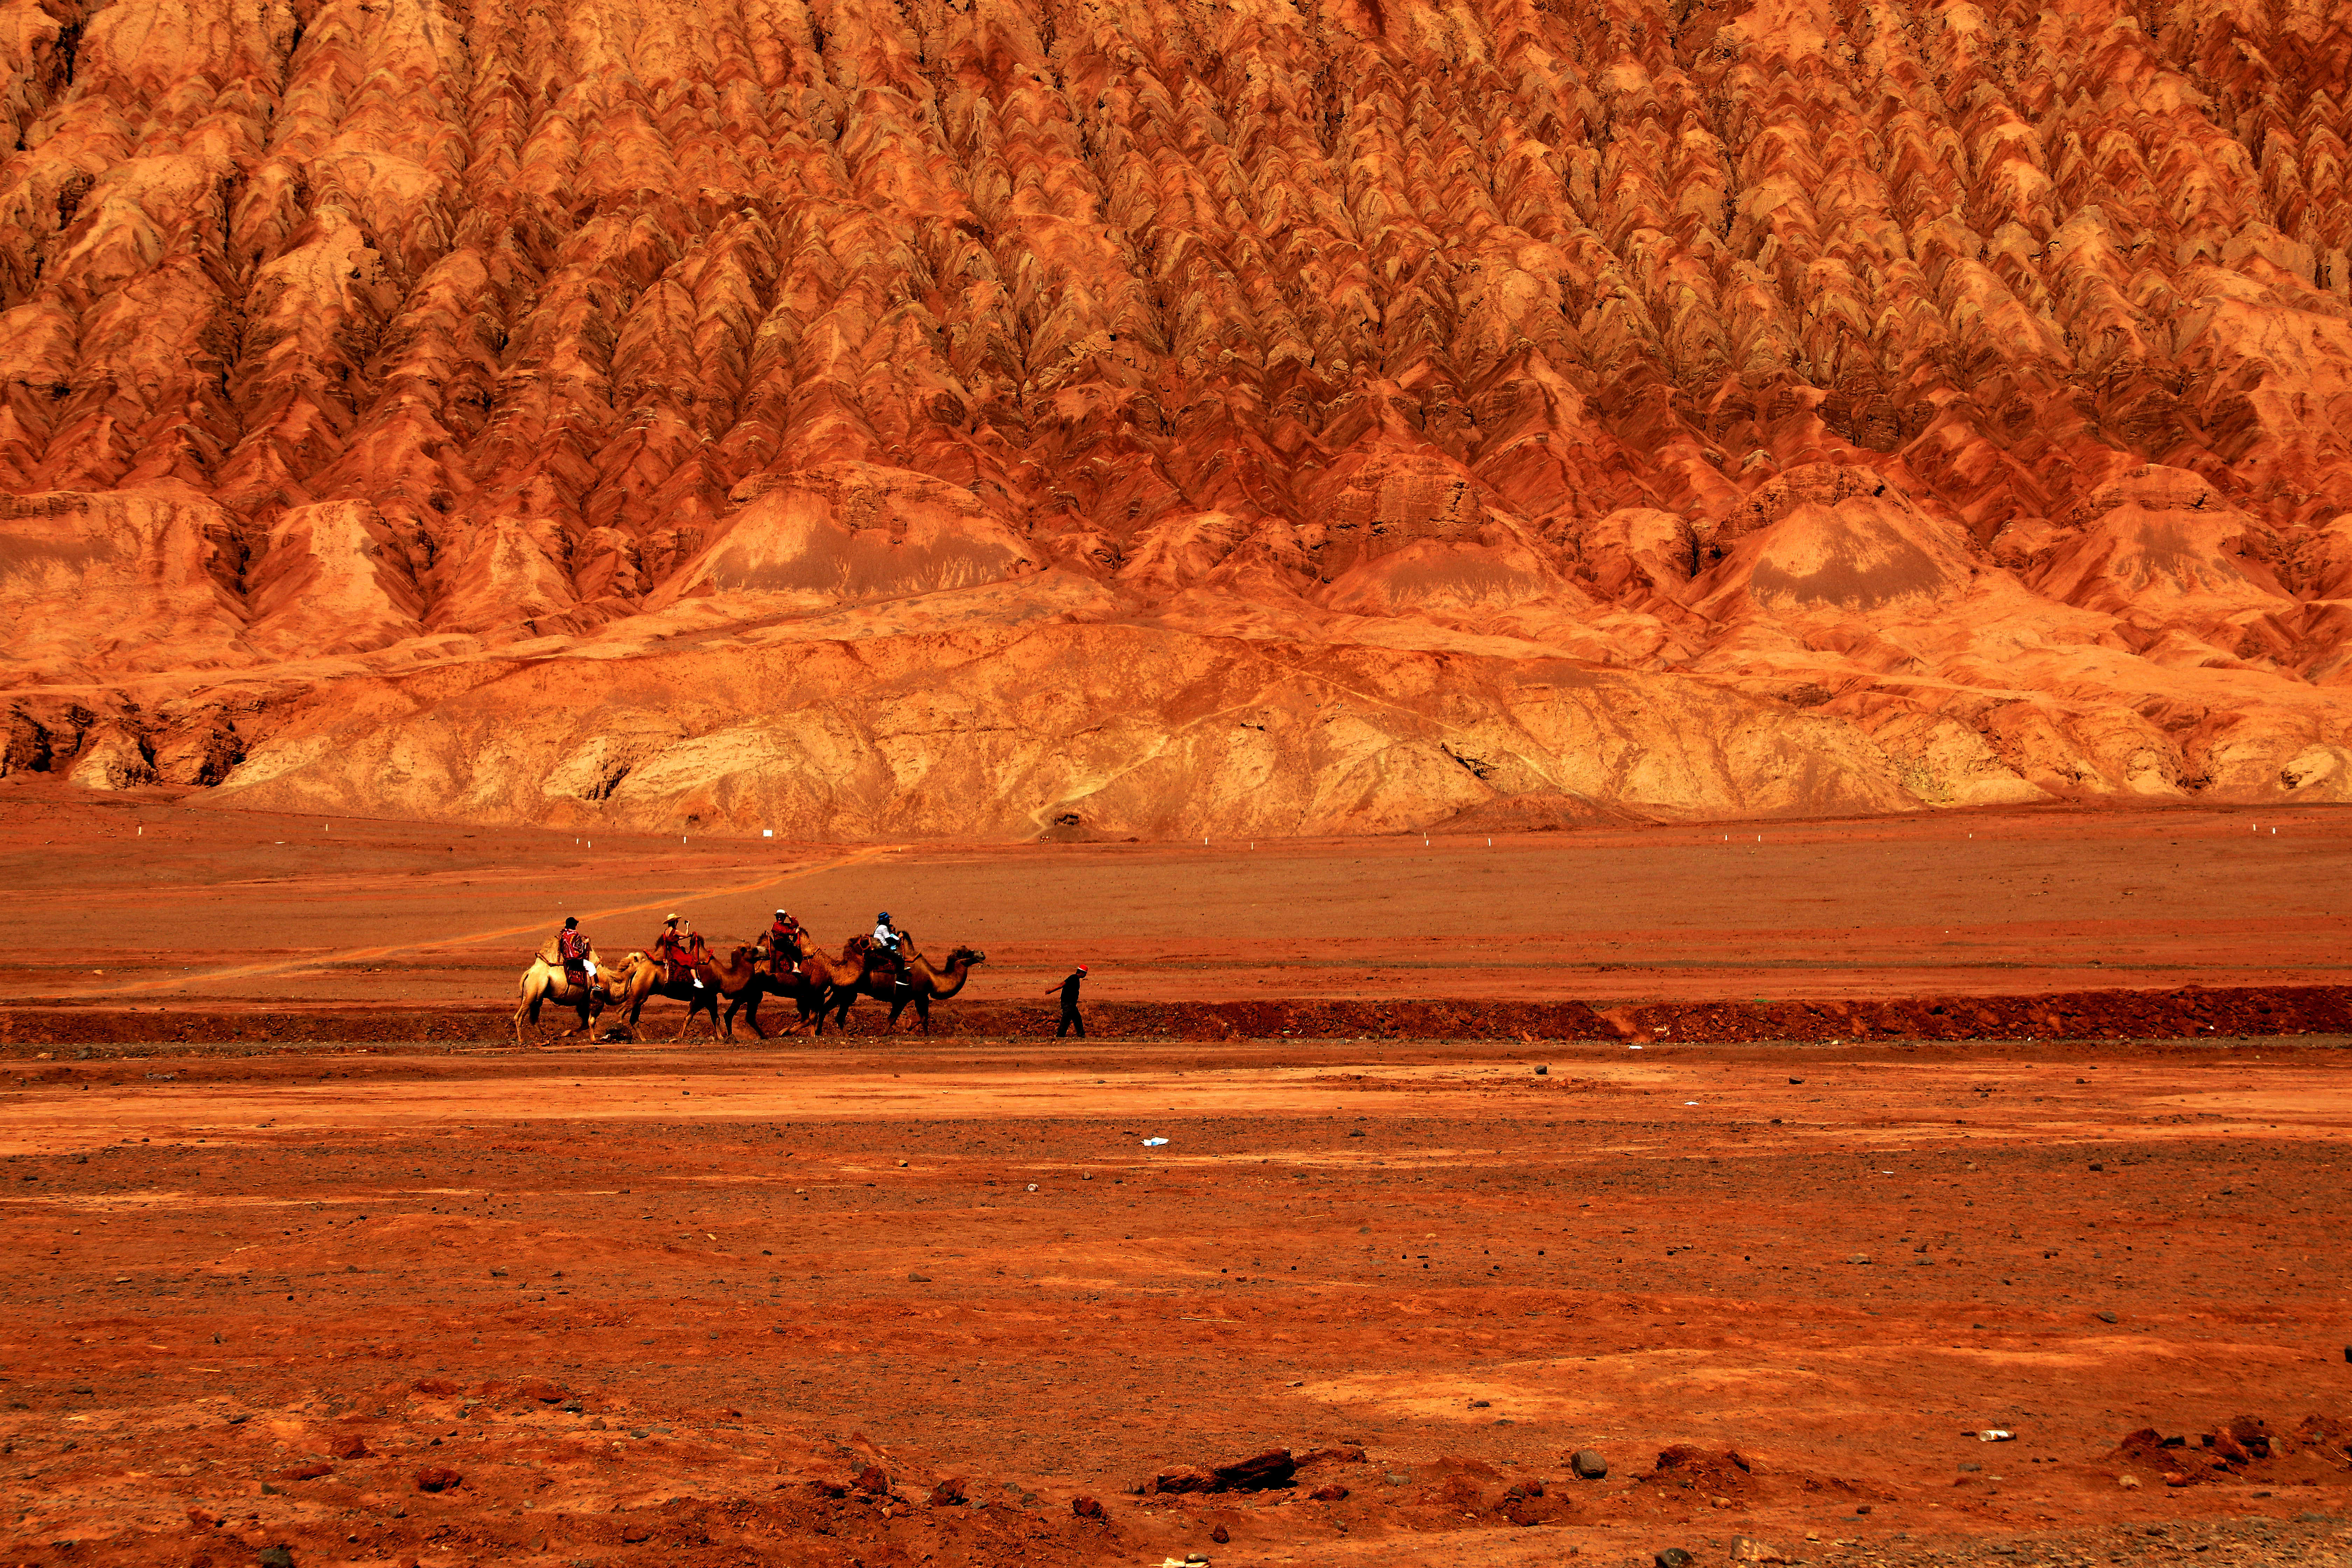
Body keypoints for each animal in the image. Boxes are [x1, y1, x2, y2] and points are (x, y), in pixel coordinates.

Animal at [512, 945, 611, 1044]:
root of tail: (528, 973)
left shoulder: (584, 1000)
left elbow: (586, 1021)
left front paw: (568, 1033)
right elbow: (591, 1020)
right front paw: (593, 1040)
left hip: (538, 993)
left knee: (534, 1013)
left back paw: (546, 1035)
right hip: (533, 988)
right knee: (521, 1014)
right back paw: (522, 1040)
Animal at [823, 940, 988, 1034]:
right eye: (965, 952)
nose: (982, 953)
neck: (933, 979)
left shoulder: (921, 997)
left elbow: (924, 1019)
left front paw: (916, 1031)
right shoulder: (904, 998)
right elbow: (892, 1020)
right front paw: (884, 1035)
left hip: (845, 994)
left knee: (832, 1013)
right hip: (845, 993)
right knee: (833, 1013)